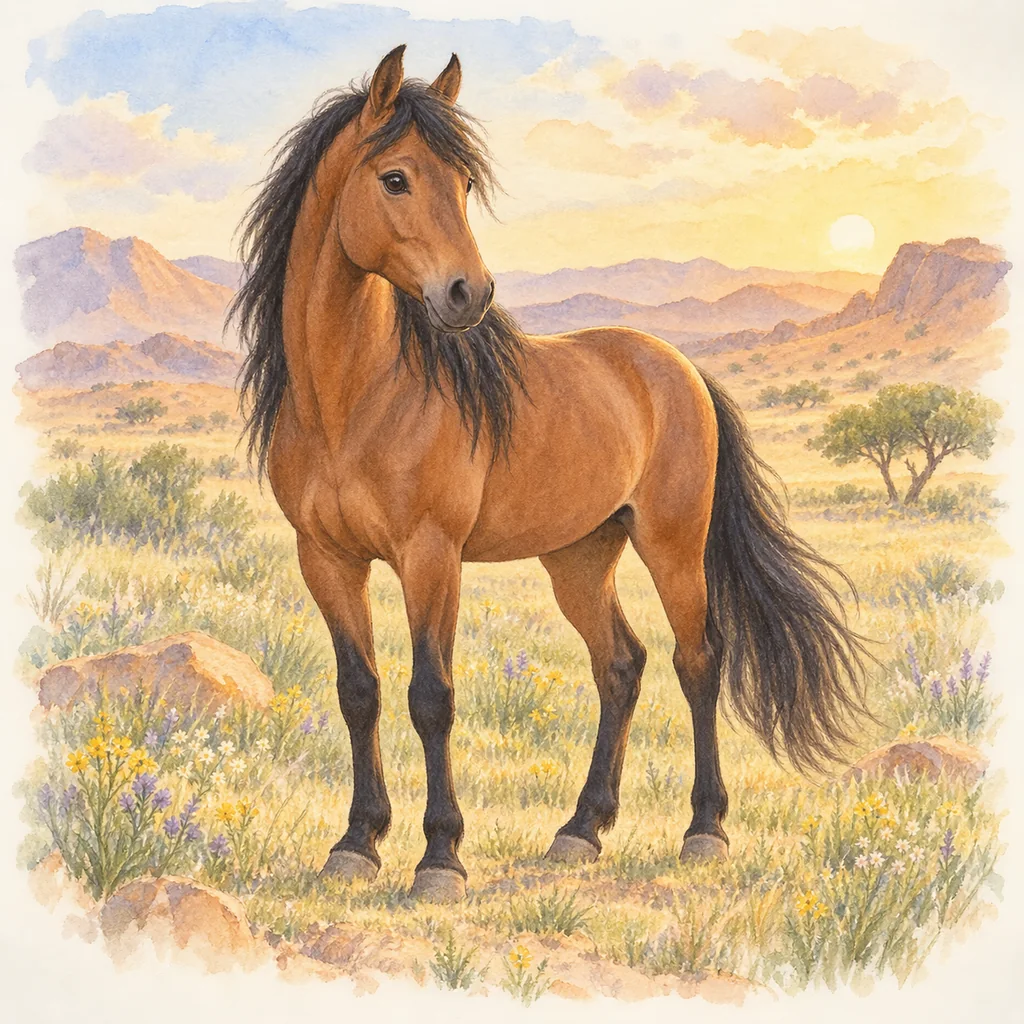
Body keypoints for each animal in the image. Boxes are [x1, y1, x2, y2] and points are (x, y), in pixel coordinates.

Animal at [229, 45, 868, 902]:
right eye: (395, 177)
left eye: (465, 183)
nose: (468, 292)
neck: (353, 397)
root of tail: (675, 367)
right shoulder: (326, 559)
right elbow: (359, 692)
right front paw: (357, 842)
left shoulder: (431, 557)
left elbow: (431, 696)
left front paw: (440, 858)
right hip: (579, 555)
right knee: (620, 665)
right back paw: (581, 829)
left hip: (672, 545)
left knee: (697, 660)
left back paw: (704, 830)